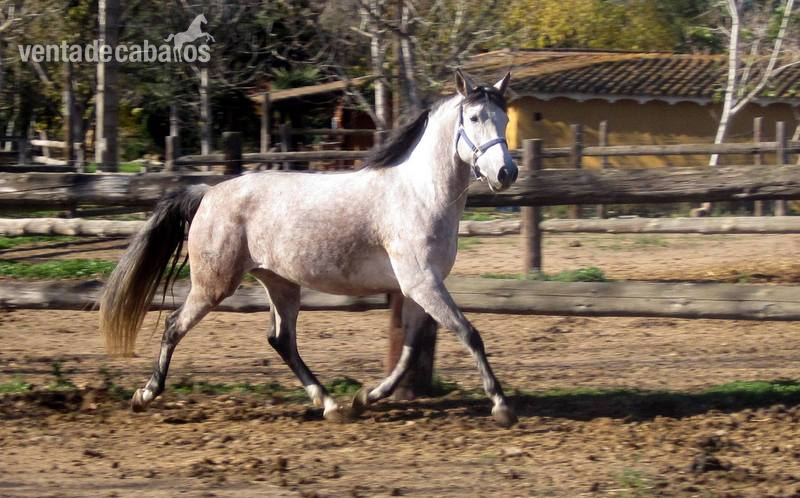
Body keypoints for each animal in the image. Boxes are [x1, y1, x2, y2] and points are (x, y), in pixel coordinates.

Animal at [99, 70, 520, 427]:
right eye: (475, 118)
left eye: (504, 119)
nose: (507, 173)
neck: (419, 194)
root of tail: (208, 193)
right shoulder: (420, 283)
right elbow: (468, 333)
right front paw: (501, 406)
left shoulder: (419, 286)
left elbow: (410, 349)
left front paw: (365, 398)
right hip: (213, 285)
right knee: (174, 326)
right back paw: (144, 395)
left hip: (280, 282)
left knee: (281, 340)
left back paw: (331, 404)